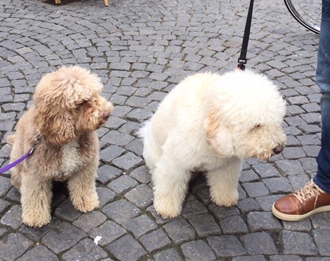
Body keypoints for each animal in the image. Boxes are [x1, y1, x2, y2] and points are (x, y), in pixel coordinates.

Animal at [139, 68, 286, 217]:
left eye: (277, 121)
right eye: (256, 126)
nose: (278, 148)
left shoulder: (226, 164)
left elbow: (224, 182)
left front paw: (225, 198)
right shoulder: (175, 162)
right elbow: (170, 185)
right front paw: (167, 207)